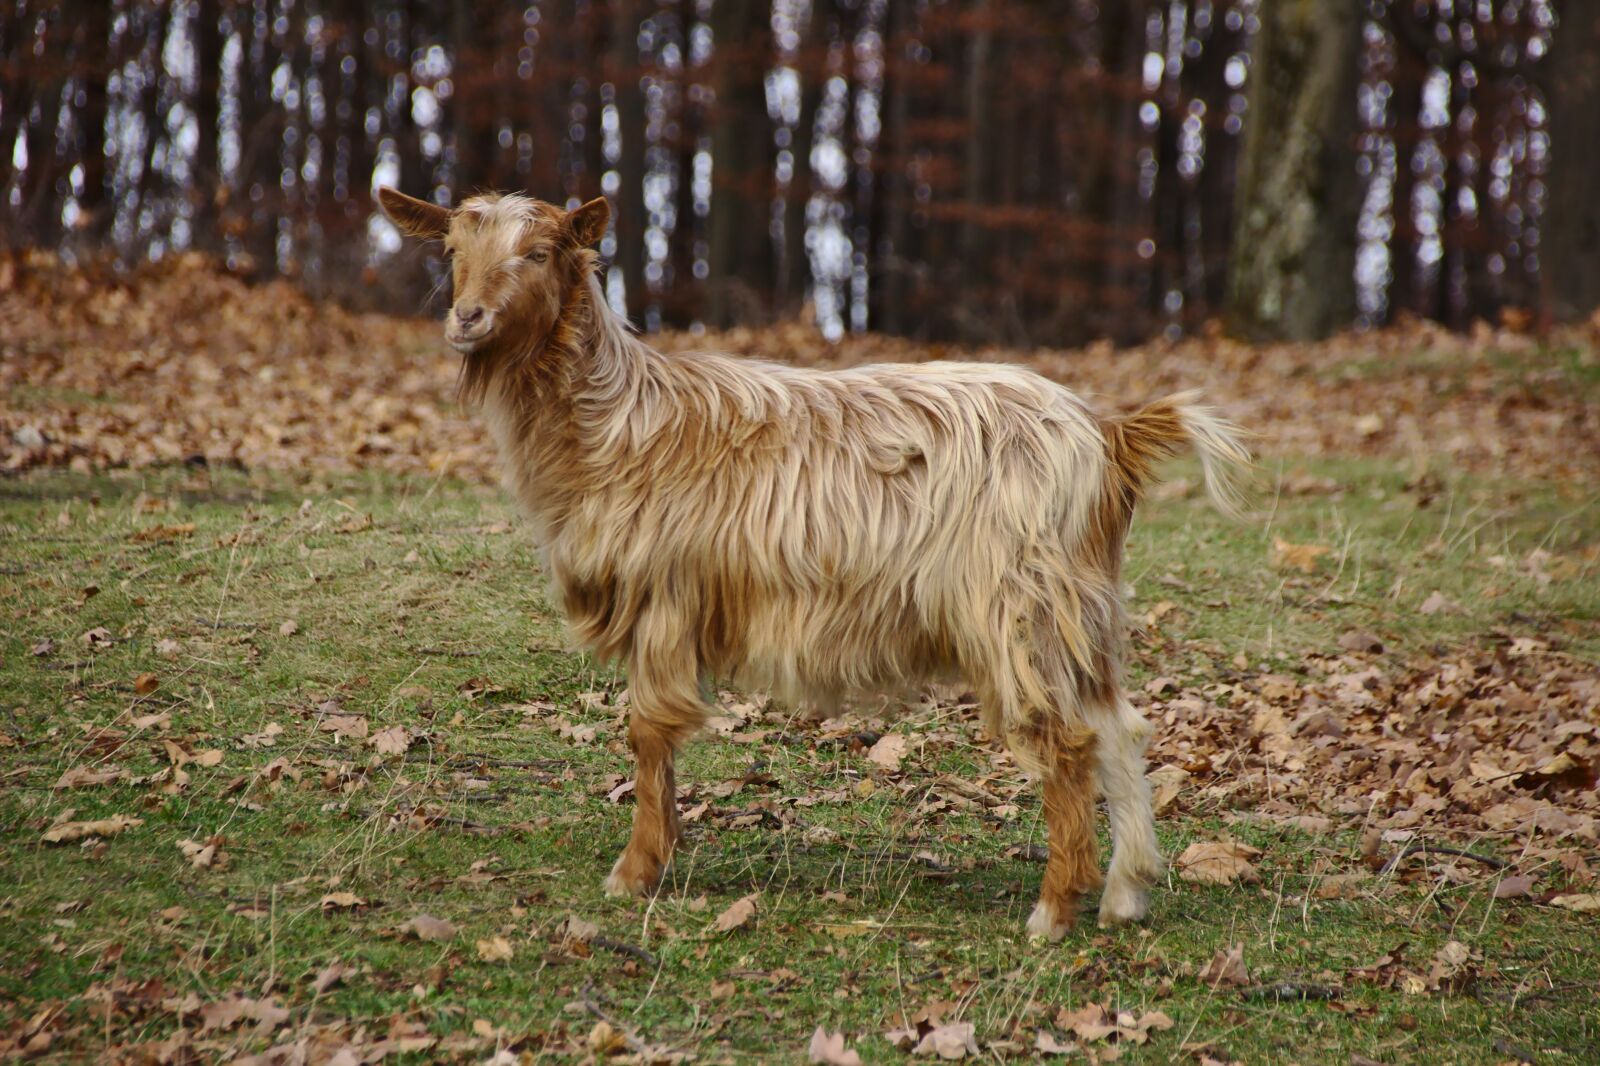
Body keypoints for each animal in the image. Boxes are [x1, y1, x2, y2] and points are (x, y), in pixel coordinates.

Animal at [377, 186, 1250, 938]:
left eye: (539, 251)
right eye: (451, 250)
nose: (466, 317)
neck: (617, 419)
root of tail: (1105, 434)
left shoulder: (665, 596)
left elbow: (649, 732)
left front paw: (634, 873)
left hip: (1017, 605)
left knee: (1067, 740)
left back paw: (1055, 911)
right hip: (1076, 606)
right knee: (1120, 728)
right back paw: (1126, 893)